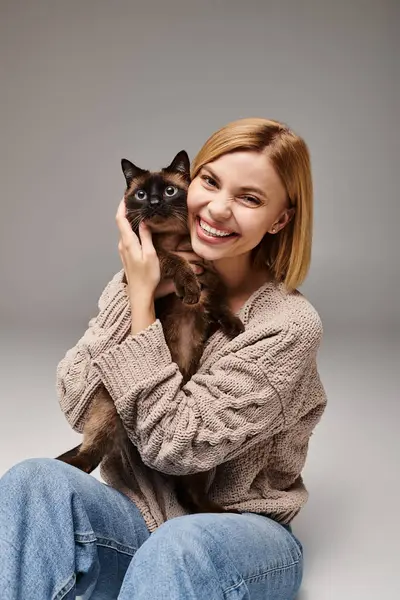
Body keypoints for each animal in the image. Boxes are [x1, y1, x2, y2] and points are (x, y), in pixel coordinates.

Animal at [55, 151, 244, 516]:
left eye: (169, 191)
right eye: (142, 194)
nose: (155, 203)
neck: (174, 237)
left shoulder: (209, 275)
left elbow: (215, 301)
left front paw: (233, 325)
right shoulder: (147, 263)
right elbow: (170, 259)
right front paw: (187, 288)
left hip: (199, 458)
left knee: (188, 493)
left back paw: (221, 513)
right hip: (109, 412)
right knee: (88, 456)